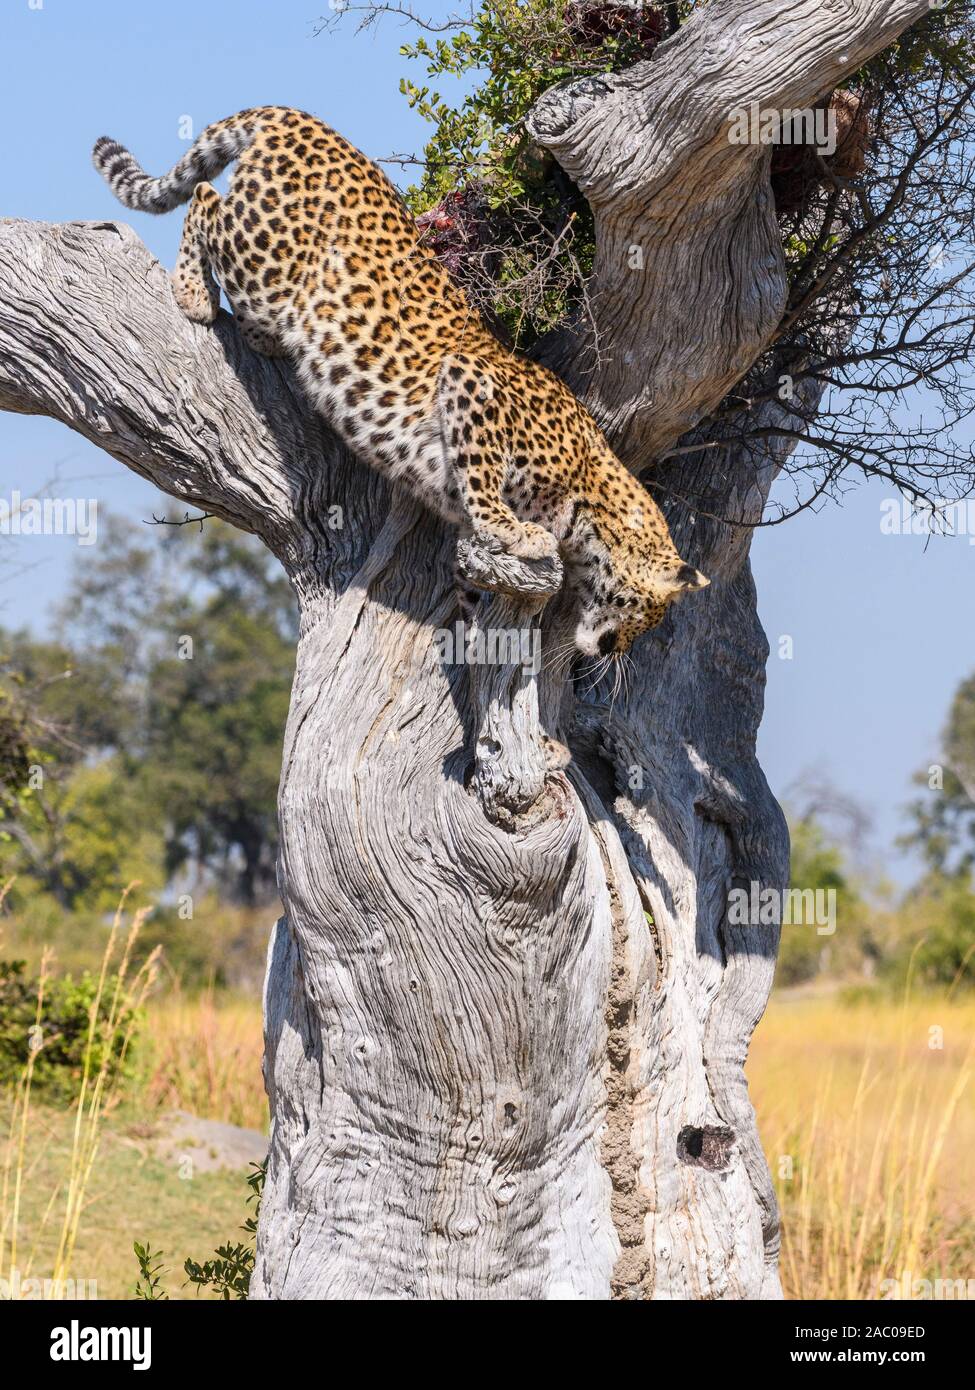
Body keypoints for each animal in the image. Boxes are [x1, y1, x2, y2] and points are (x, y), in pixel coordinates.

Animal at [93, 102, 706, 656]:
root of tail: (300, 117)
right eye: (646, 614)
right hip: (266, 262)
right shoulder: (471, 383)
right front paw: (517, 532)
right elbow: (483, 485)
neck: (589, 503)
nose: (613, 651)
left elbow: (467, 586)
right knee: (205, 199)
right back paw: (194, 294)